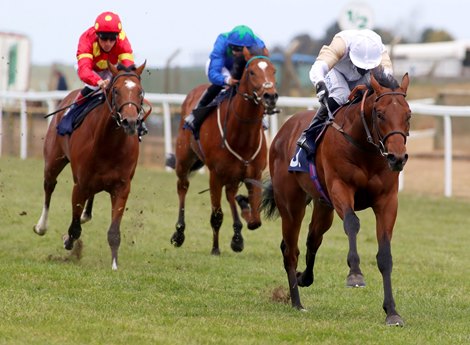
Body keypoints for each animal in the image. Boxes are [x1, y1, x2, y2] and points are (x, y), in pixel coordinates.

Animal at [34, 61, 148, 270]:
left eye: (140, 92)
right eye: (116, 91)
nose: (130, 122)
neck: (109, 144)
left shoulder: (122, 187)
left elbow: (114, 231)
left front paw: (114, 264)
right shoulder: (80, 185)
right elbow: (74, 227)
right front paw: (68, 241)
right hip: (53, 160)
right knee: (49, 186)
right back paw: (41, 226)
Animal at [168, 47, 280, 254]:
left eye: (273, 70)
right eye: (251, 72)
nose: (270, 96)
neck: (242, 136)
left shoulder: (254, 174)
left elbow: (255, 220)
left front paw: (243, 210)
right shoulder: (215, 175)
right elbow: (217, 215)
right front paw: (215, 249)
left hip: (233, 174)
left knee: (230, 193)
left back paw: (237, 232)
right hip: (183, 160)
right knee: (183, 187)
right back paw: (179, 233)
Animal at [260, 70, 412, 326]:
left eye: (408, 115)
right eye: (380, 114)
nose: (397, 157)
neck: (366, 150)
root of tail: (284, 129)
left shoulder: (387, 201)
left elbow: (385, 256)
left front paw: (392, 311)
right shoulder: (341, 188)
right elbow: (352, 223)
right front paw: (355, 274)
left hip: (323, 206)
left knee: (313, 239)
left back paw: (303, 278)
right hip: (291, 204)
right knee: (290, 249)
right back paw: (297, 302)